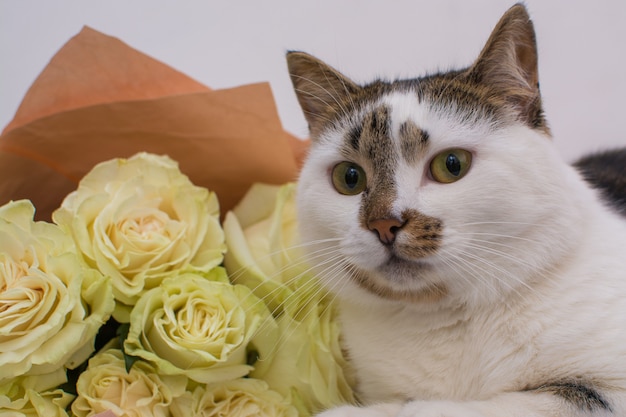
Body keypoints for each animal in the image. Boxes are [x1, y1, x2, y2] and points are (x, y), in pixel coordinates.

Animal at [286, 3, 624, 416]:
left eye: (452, 165)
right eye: (349, 178)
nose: (383, 223)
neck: (449, 320)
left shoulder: (606, 390)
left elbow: (460, 406)